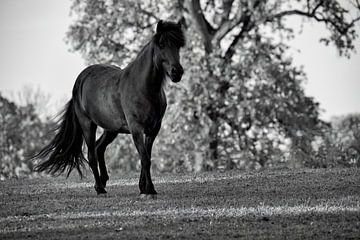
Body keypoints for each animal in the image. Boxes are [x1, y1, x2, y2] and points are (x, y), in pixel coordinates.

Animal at [32, 20, 186, 197]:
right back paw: (100, 188)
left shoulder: (153, 129)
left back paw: (103, 181)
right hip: (88, 125)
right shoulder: (136, 129)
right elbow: (145, 158)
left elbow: (145, 158)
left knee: (99, 148)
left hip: (111, 129)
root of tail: (80, 80)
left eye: (179, 45)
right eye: (161, 44)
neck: (142, 88)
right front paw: (150, 190)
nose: (177, 72)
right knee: (92, 154)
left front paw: (143, 187)